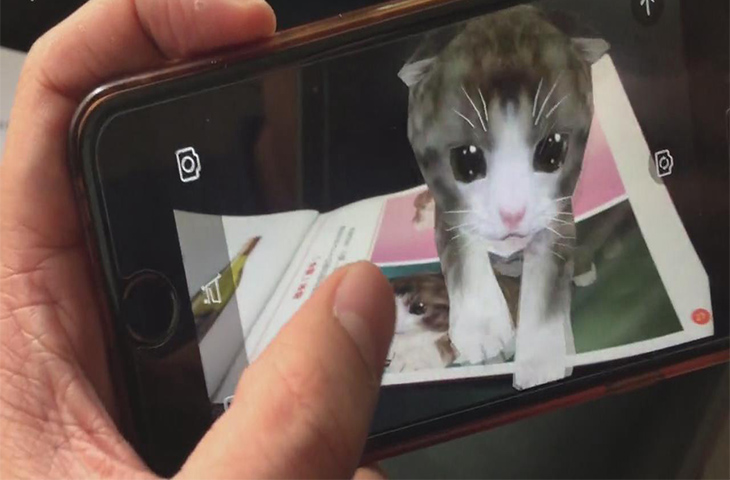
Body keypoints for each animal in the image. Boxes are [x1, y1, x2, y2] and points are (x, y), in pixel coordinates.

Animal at [398, 5, 609, 389]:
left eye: (553, 151)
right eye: (465, 160)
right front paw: (481, 328)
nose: (513, 214)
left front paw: (541, 360)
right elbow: (459, 246)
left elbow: (548, 281)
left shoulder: (557, 212)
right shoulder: (447, 204)